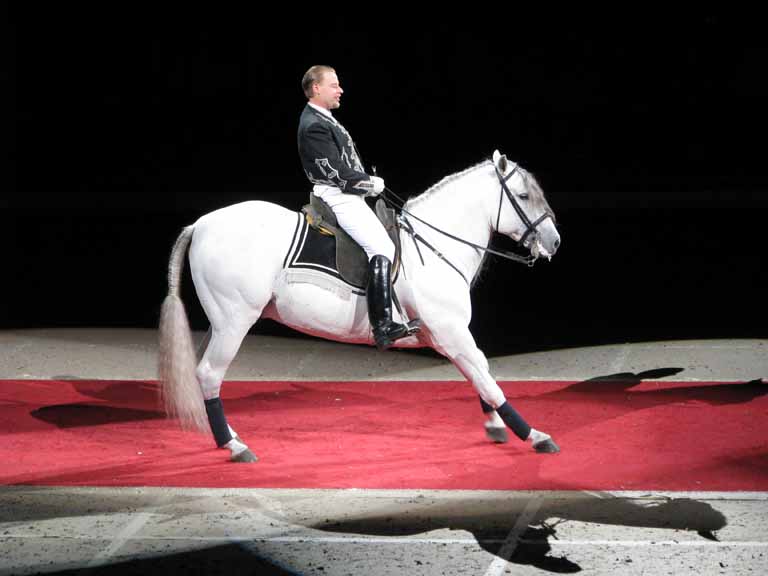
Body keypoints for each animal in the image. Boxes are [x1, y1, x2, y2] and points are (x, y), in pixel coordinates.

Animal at [159, 151, 560, 462]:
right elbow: (488, 380)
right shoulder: (452, 333)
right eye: (523, 196)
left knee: (202, 373)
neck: (433, 246)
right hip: (234, 321)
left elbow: (480, 374)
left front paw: (495, 425)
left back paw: (227, 435)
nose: (554, 241)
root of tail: (202, 224)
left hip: (219, 322)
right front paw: (536, 436)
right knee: (210, 374)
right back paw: (235, 446)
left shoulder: (451, 336)